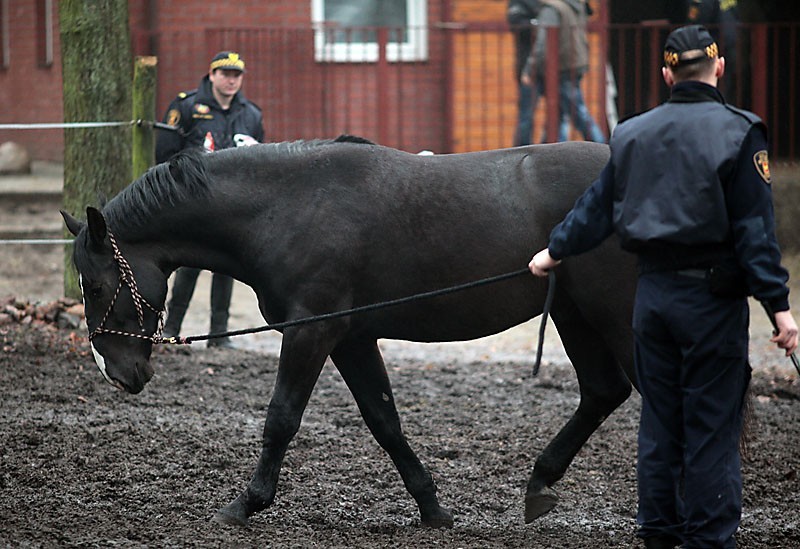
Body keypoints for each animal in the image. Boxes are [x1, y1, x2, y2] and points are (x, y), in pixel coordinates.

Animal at [61, 137, 636, 528]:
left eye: (94, 284)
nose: (115, 371)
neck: (287, 207)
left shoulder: (311, 333)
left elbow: (281, 419)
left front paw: (245, 504)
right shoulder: (352, 339)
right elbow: (384, 421)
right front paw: (432, 508)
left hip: (614, 314)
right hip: (574, 315)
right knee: (603, 392)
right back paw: (540, 483)